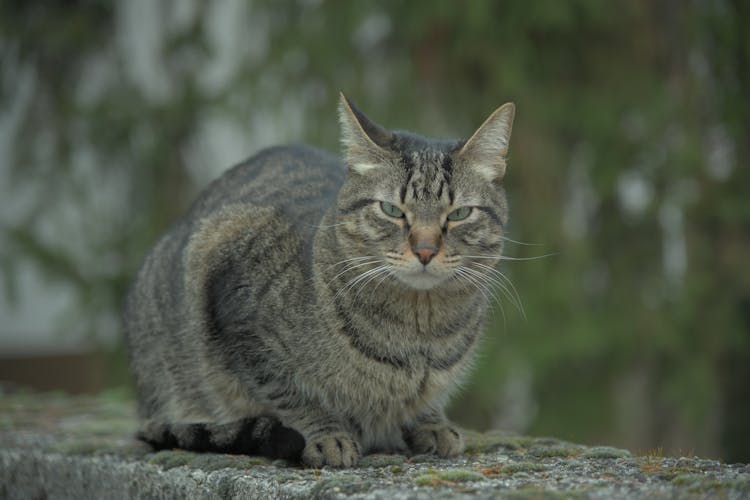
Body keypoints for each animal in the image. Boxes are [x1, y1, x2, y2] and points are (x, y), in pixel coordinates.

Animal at [128, 94, 516, 468]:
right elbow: (291, 396)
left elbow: (424, 401)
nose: (424, 250)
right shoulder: (240, 314)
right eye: (391, 210)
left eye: (460, 213)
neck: (418, 336)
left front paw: (431, 423)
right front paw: (328, 435)